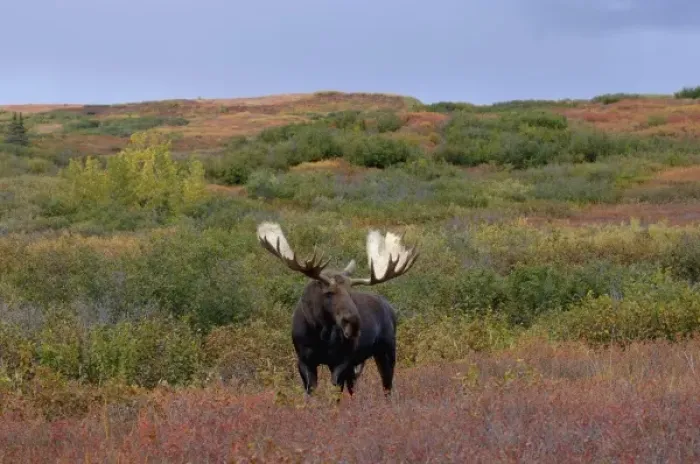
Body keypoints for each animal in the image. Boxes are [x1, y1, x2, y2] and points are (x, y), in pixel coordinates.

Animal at [256, 221, 419, 399]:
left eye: (350, 292)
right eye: (328, 292)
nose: (353, 323)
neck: (320, 333)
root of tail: (389, 307)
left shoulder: (342, 361)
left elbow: (335, 393)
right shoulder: (304, 361)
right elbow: (310, 393)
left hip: (387, 350)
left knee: (387, 386)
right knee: (354, 387)